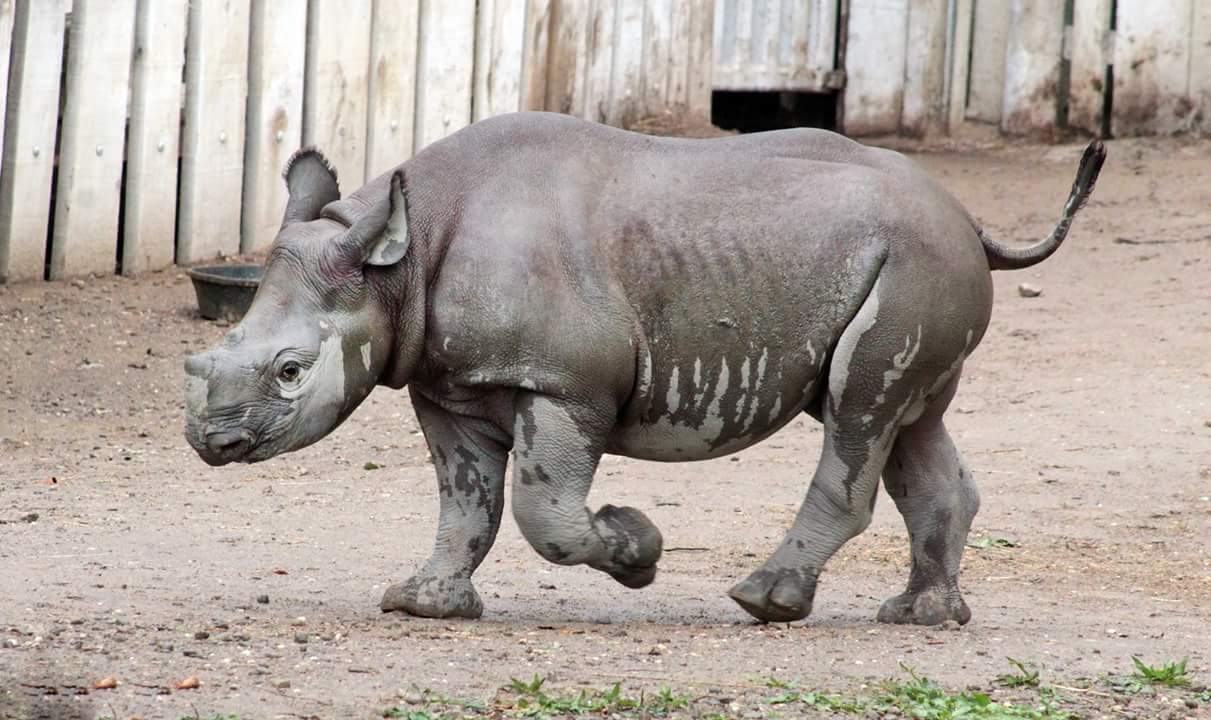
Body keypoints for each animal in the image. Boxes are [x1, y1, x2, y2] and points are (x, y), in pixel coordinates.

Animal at [184, 112, 1104, 625]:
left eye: (290, 372)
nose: (208, 443)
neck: (396, 270)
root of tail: (968, 215)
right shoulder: (447, 386)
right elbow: (466, 503)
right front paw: (423, 603)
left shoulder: (566, 383)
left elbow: (543, 512)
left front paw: (637, 549)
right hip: (909, 258)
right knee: (906, 421)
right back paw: (922, 617)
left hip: (915, 260)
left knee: (859, 412)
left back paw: (763, 603)